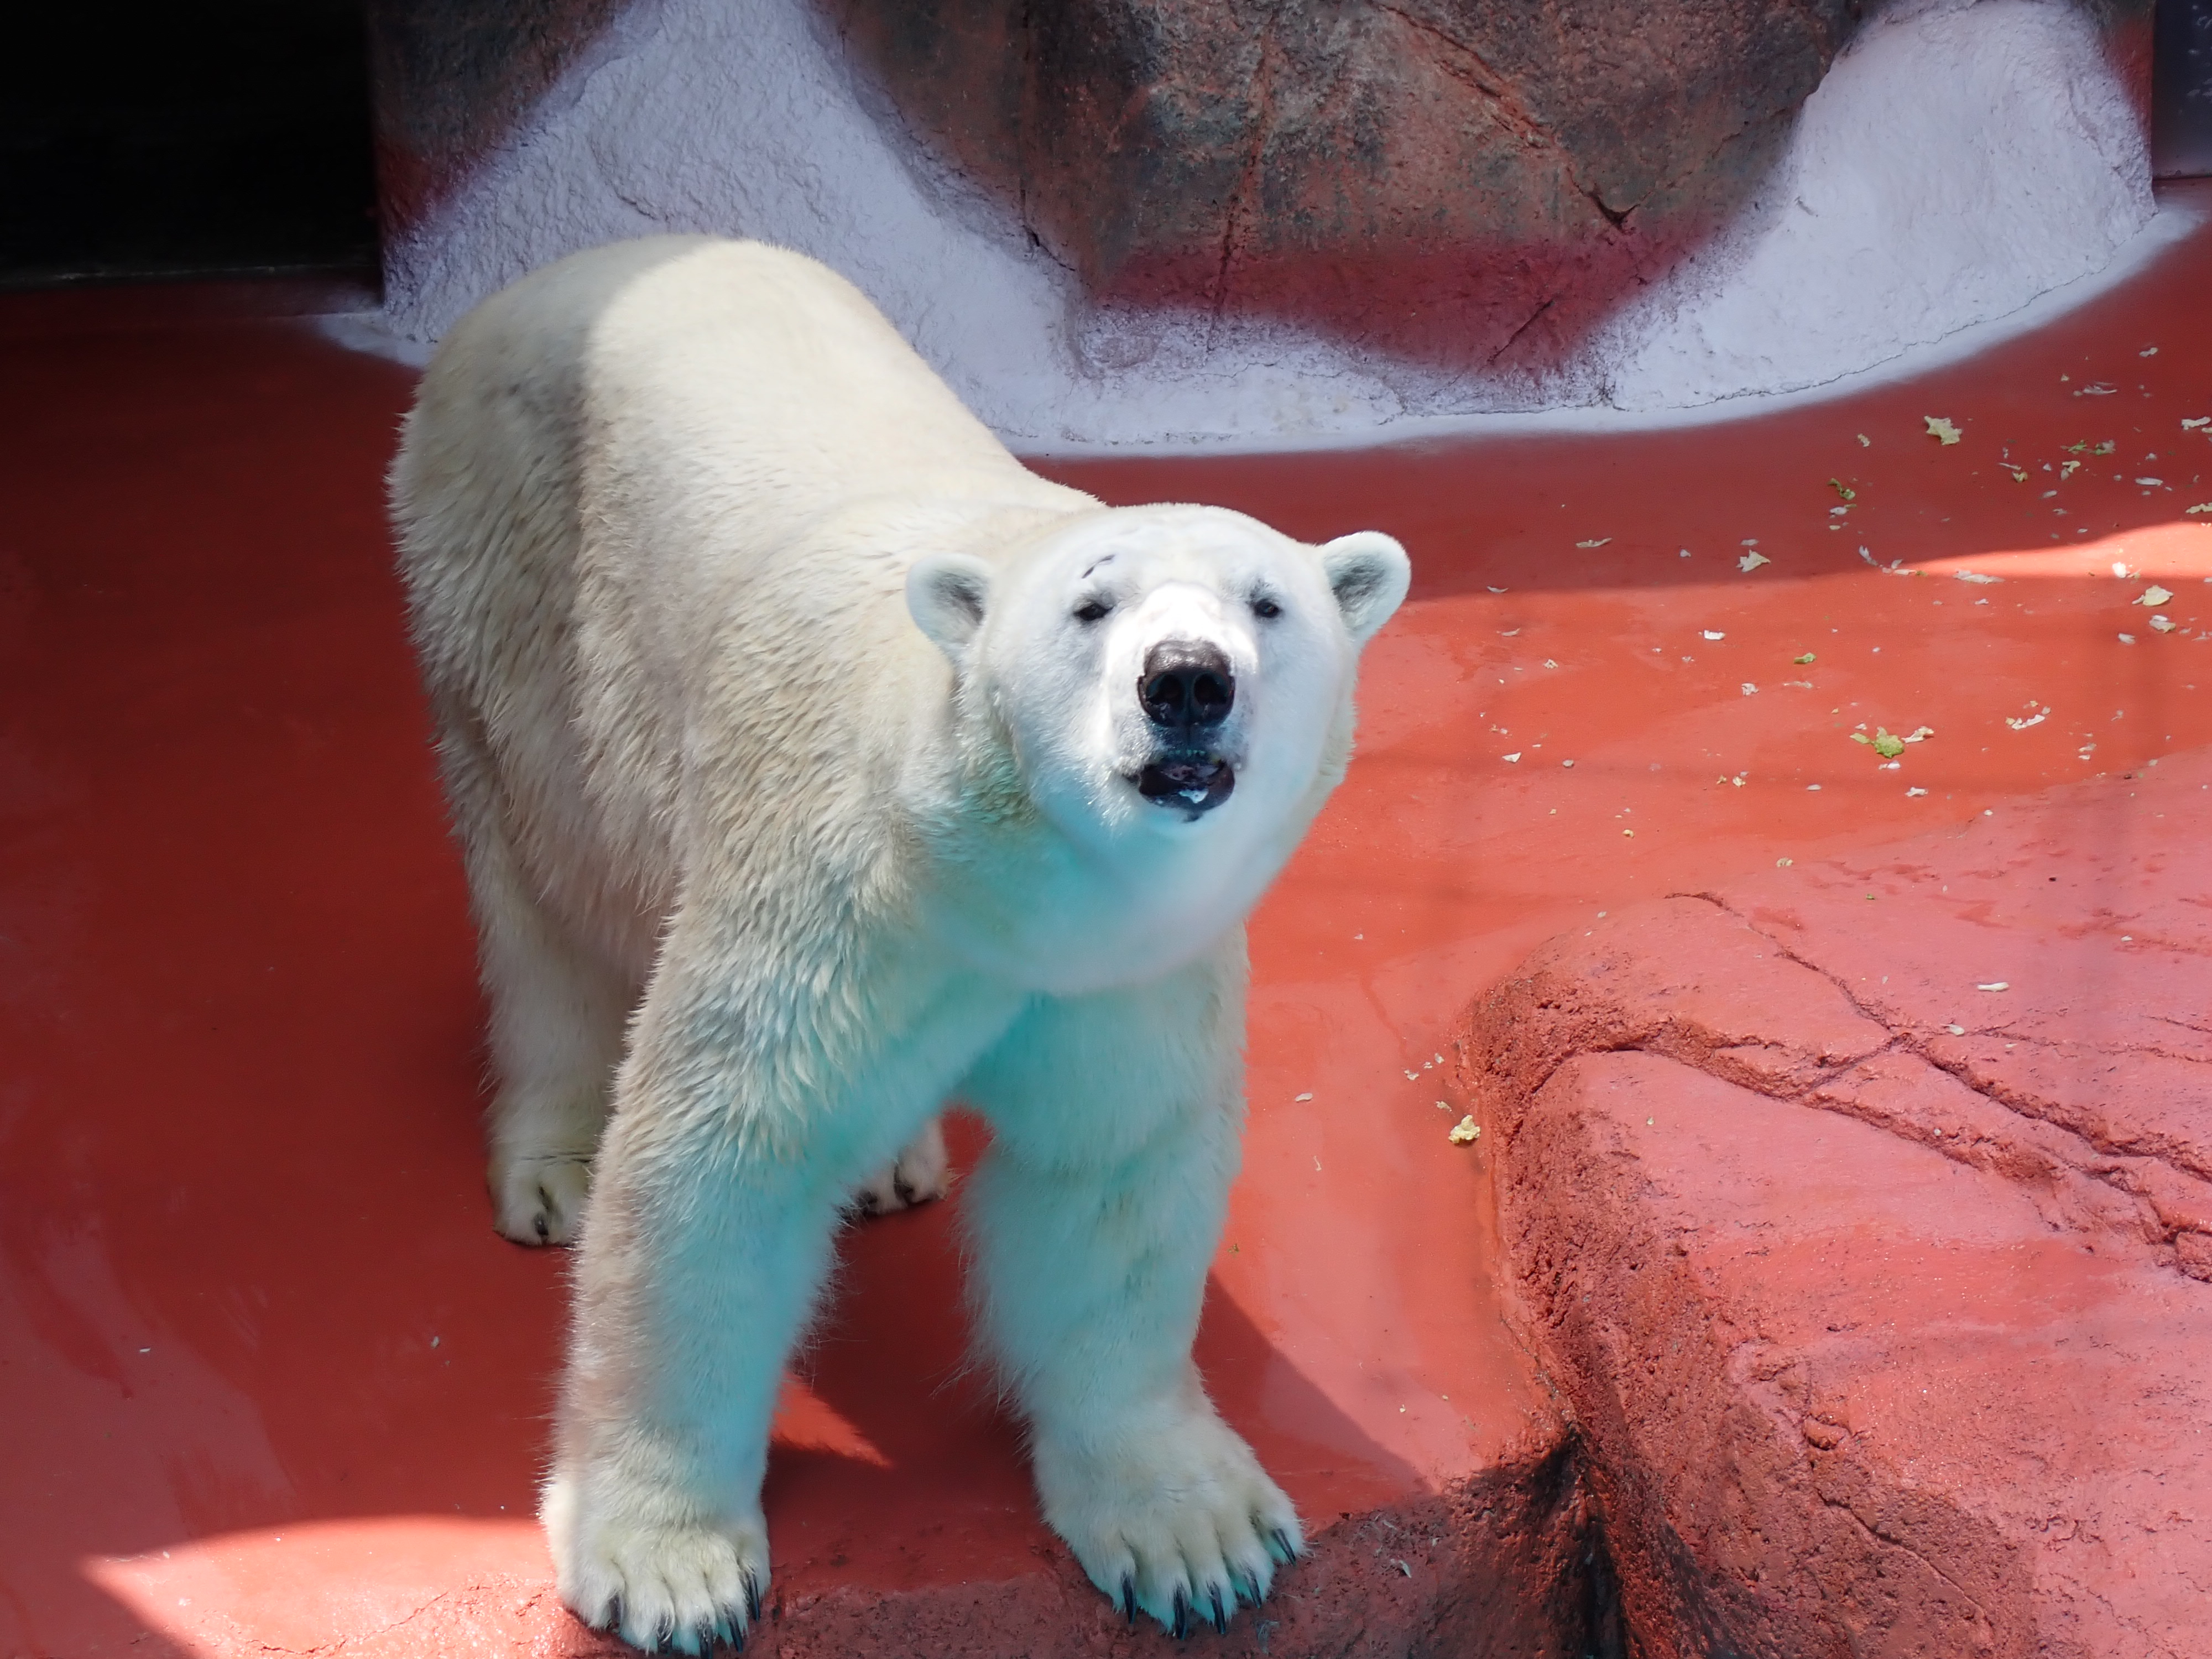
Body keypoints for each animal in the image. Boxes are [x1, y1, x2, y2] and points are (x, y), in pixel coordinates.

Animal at [389, 240, 1407, 1655]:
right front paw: (666, 1565)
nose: (1187, 680)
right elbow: (717, 1162)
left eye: (1268, 603)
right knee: (543, 888)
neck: (998, 879)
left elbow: (1111, 1179)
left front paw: (1193, 1533)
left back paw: (888, 1164)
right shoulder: (831, 896)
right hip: (506, 594)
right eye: (1091, 605)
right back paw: (555, 1160)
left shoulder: (1126, 964)